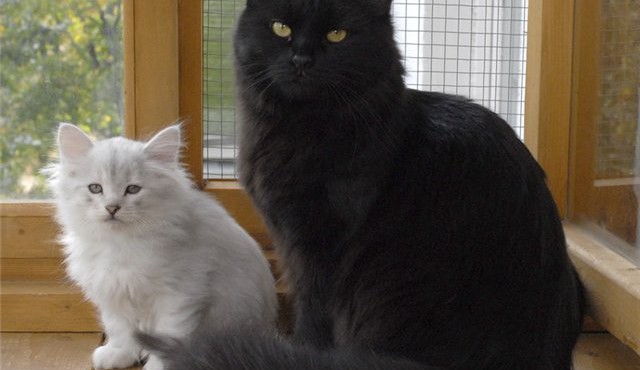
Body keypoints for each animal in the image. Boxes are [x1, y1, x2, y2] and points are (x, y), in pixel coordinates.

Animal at [45, 124, 276, 370]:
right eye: (95, 188)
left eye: (133, 189)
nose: (112, 208)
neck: (120, 244)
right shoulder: (113, 292)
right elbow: (120, 329)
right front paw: (119, 354)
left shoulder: (179, 294)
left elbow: (167, 334)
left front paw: (157, 365)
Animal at [141, 0, 584, 370]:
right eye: (281, 28)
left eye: (337, 34)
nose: (301, 58)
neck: (302, 129)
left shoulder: (316, 245)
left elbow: (313, 311)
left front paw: (306, 349)